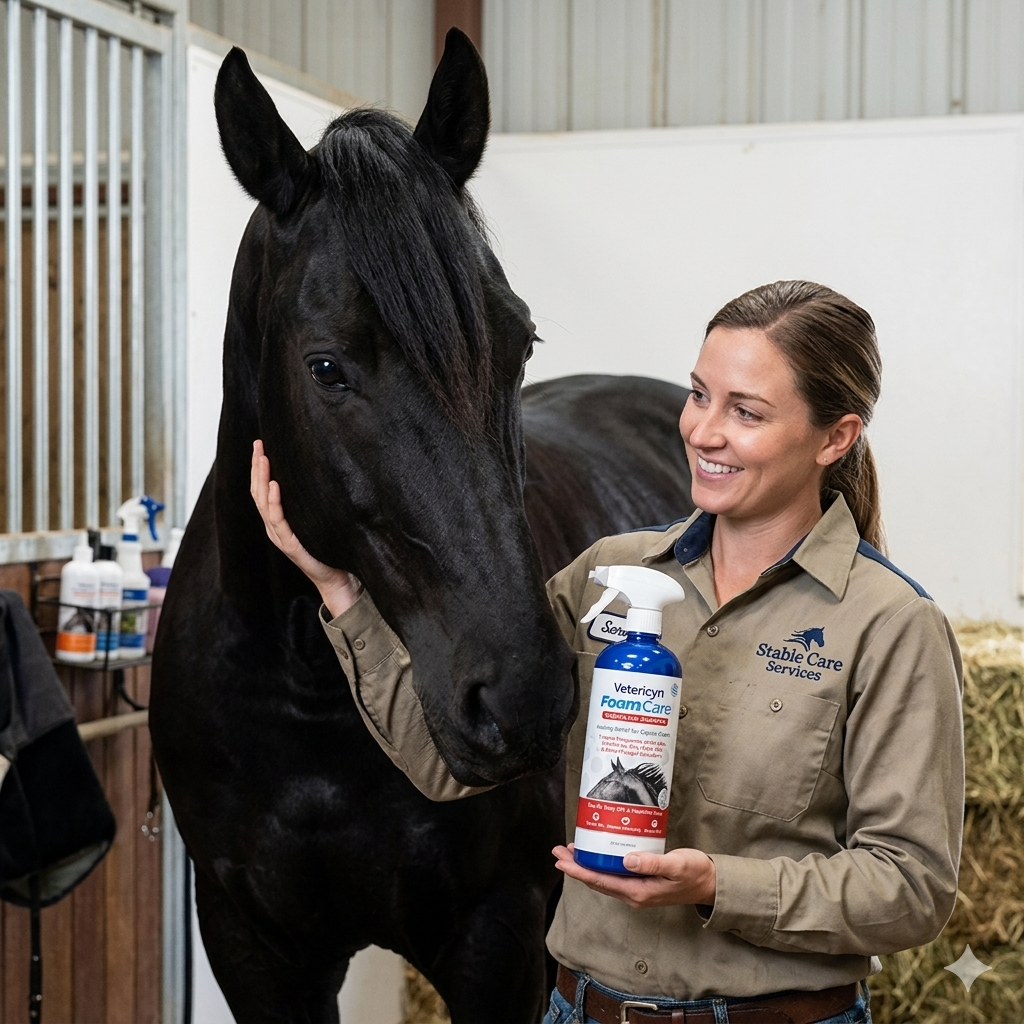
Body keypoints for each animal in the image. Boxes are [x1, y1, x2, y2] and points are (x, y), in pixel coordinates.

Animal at [150, 31, 693, 1023]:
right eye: (327, 367)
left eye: (519, 342)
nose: (521, 700)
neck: (311, 704)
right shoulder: (251, 944)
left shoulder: (498, 938)